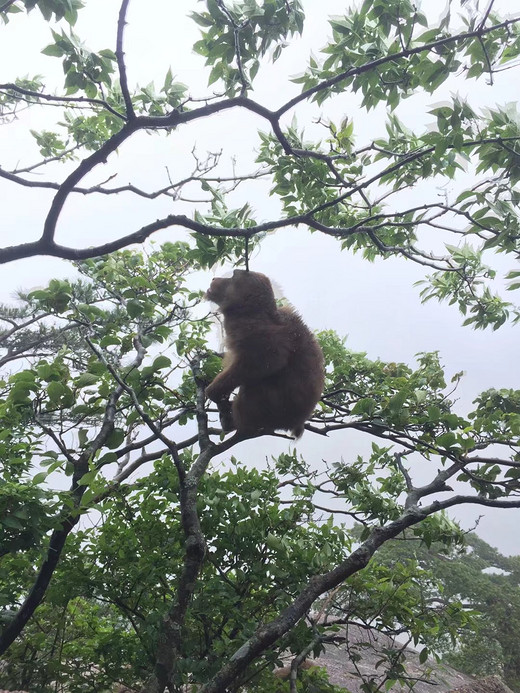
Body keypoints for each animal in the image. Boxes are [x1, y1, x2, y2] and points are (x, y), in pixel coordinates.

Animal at [204, 268, 322, 436]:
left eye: (233, 276)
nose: (215, 279)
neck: (249, 310)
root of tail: (295, 423)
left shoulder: (251, 329)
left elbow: (268, 361)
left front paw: (214, 392)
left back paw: (232, 422)